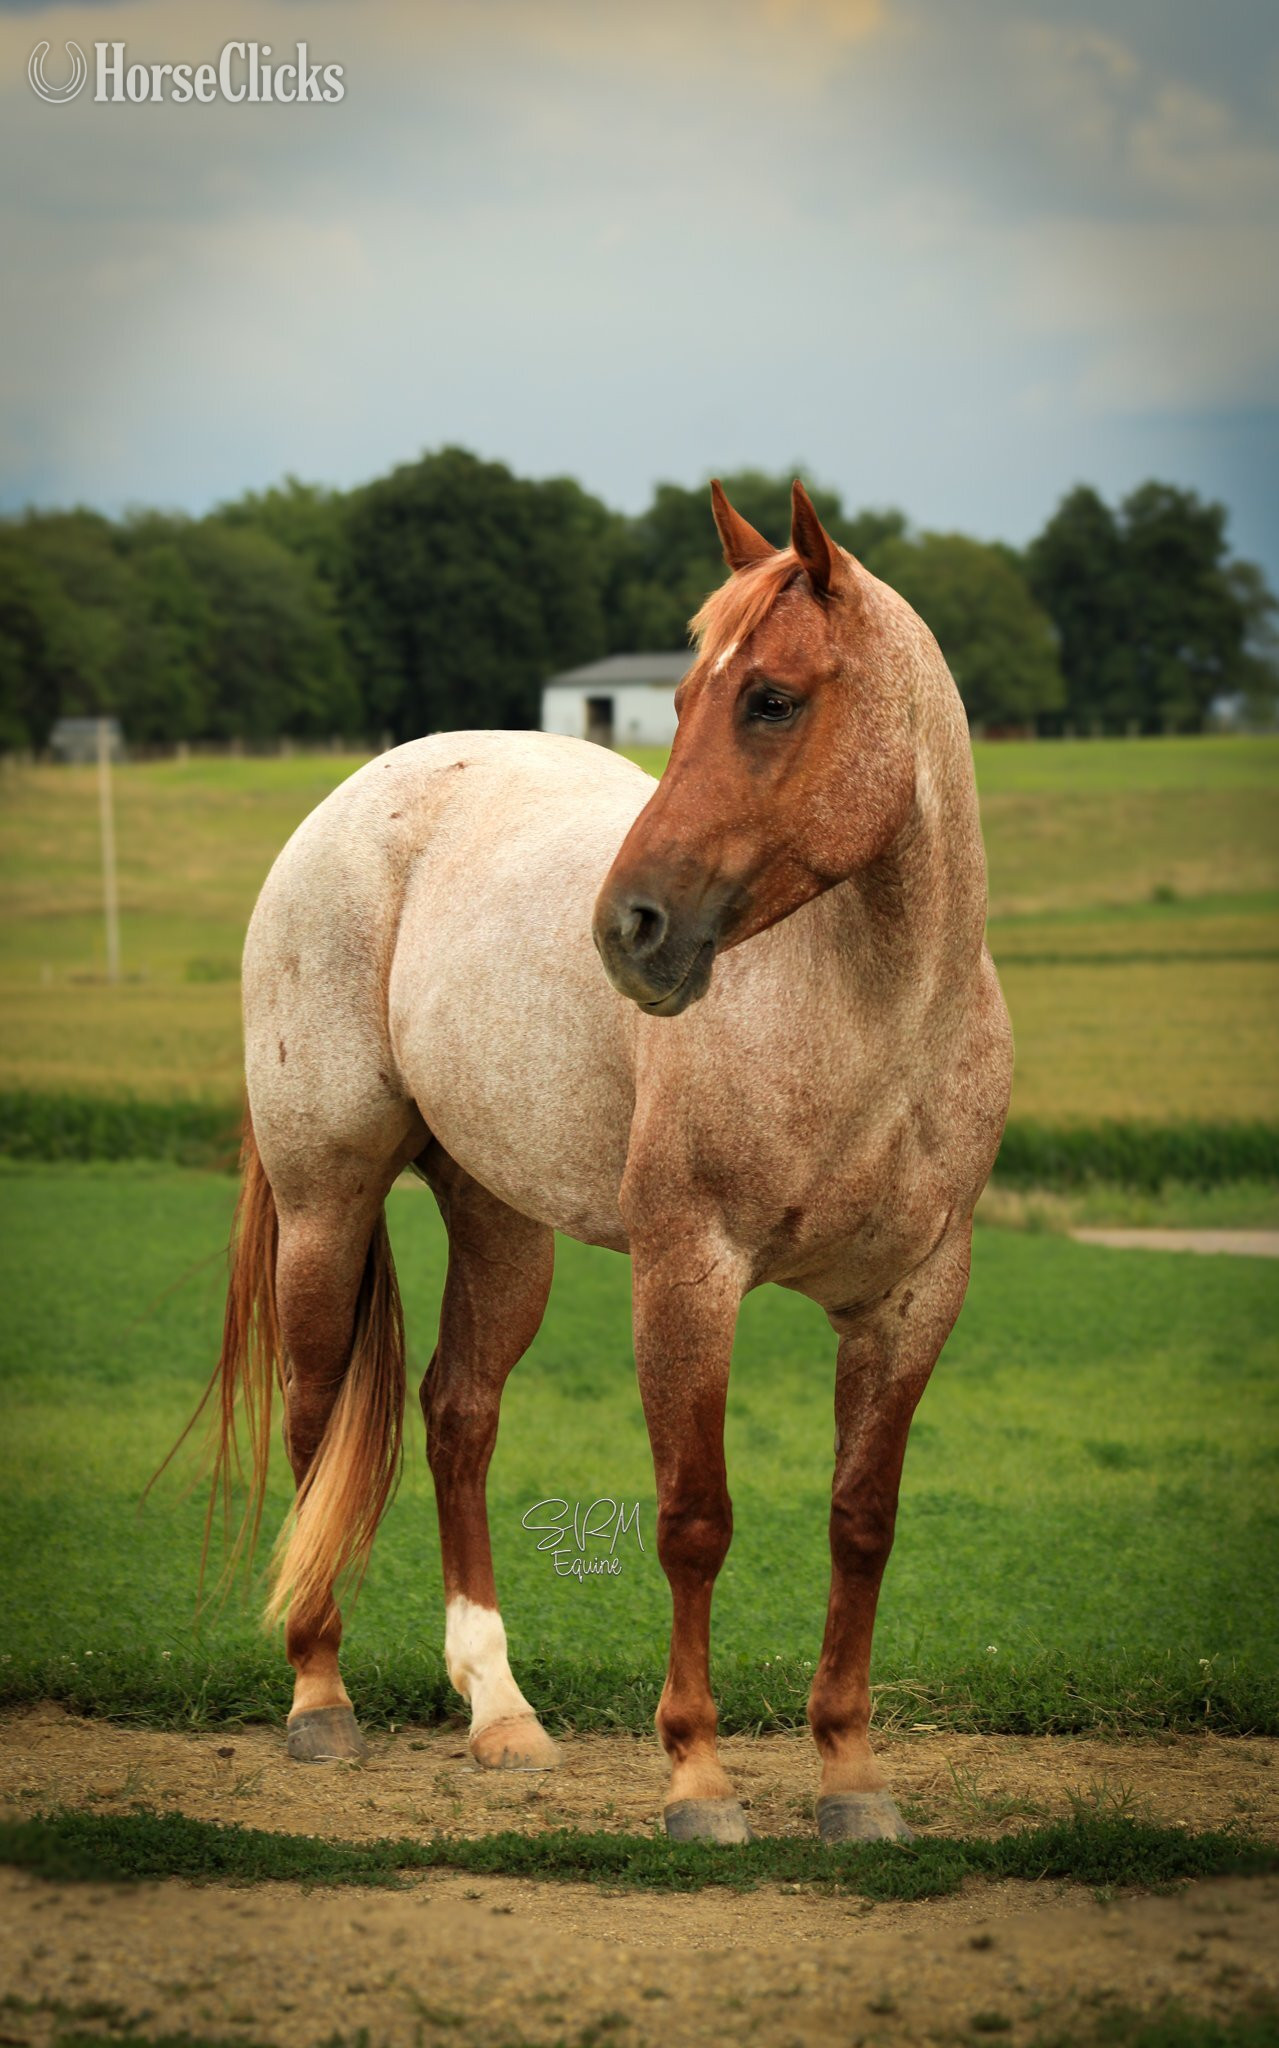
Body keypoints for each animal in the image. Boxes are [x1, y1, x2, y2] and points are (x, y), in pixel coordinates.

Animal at [209, 479, 1012, 1846]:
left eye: (771, 698)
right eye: (679, 698)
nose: (629, 928)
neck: (875, 1021)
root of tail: (355, 798)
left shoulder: (913, 1297)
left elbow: (861, 1521)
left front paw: (850, 1775)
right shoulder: (687, 1270)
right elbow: (694, 1518)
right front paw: (696, 1776)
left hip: (499, 1221)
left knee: (456, 1414)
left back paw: (500, 1711)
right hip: (328, 1199)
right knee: (319, 1414)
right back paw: (320, 1694)